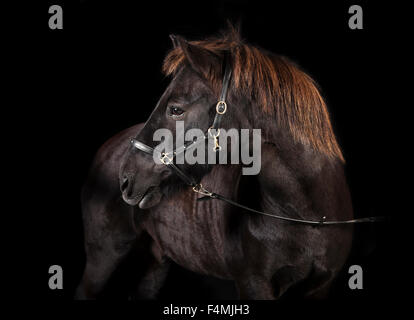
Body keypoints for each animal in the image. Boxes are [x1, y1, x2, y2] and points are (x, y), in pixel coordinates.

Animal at [75, 30, 352, 300]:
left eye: (176, 109)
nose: (126, 178)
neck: (305, 216)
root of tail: (108, 147)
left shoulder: (320, 286)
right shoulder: (254, 283)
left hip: (154, 264)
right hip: (104, 257)